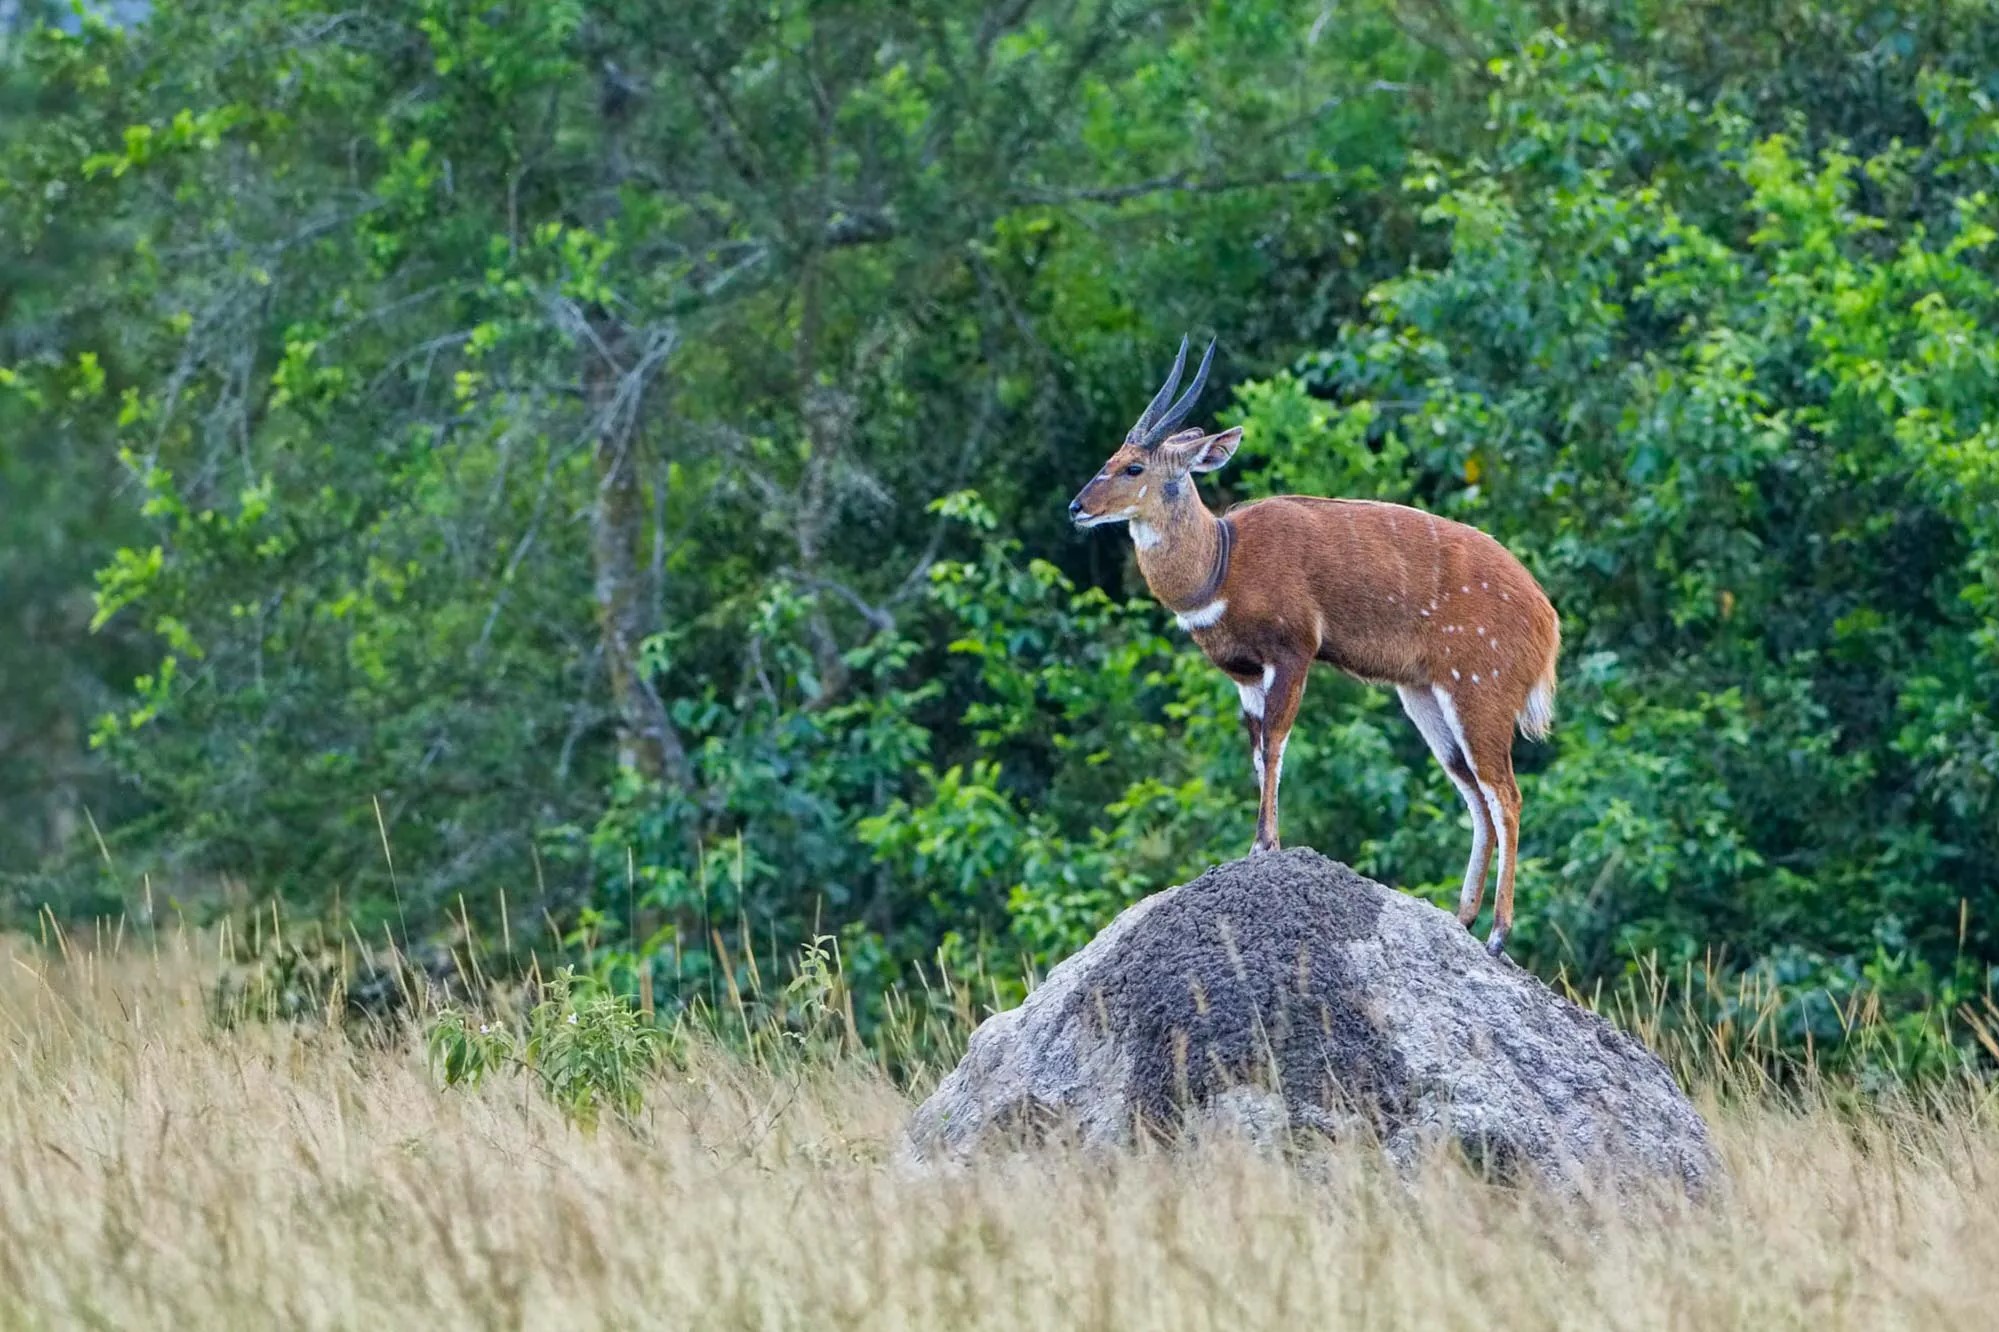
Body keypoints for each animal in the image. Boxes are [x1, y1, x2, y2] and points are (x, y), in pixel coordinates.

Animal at [1079, 338, 1559, 948]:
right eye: (1113, 457)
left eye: (1133, 465)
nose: (1076, 507)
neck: (1222, 563)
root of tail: (1548, 623)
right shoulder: (1245, 675)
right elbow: (1258, 753)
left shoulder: (1294, 650)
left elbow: (1275, 743)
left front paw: (1263, 845)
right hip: (1423, 695)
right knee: (1475, 793)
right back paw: (1460, 920)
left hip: (1480, 691)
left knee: (1506, 795)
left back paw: (1497, 935)